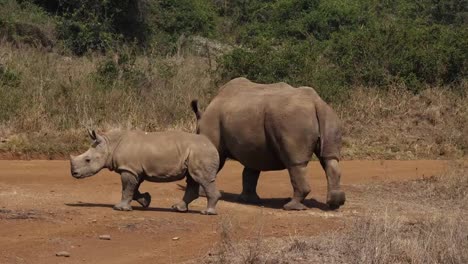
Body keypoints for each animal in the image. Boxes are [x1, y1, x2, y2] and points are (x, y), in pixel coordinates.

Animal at [69, 129, 221, 214]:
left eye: (87, 160)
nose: (74, 174)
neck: (110, 144)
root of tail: (212, 144)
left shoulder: (129, 169)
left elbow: (126, 188)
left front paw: (119, 208)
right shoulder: (134, 170)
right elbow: (133, 188)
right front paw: (146, 201)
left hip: (202, 152)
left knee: (202, 179)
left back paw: (207, 212)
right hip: (196, 152)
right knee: (192, 178)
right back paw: (177, 208)